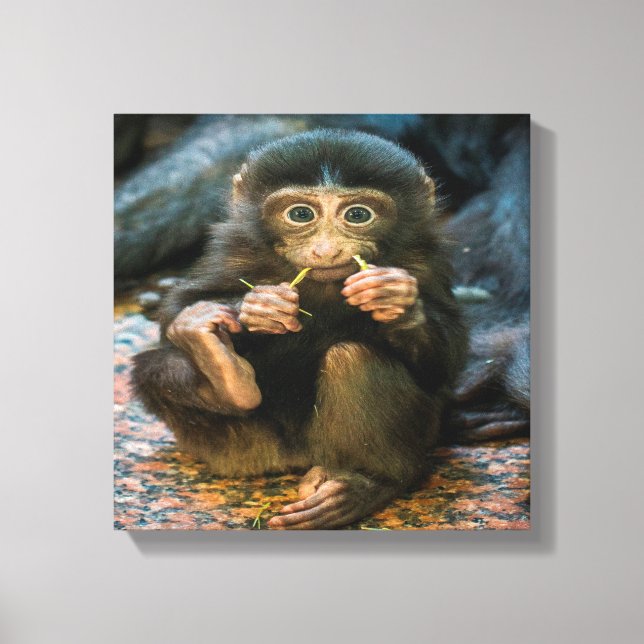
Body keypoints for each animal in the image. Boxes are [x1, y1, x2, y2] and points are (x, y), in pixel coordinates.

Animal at [132, 129, 468, 529]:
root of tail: (292, 458)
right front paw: (257, 309)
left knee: (351, 359)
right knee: (157, 364)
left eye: (358, 215)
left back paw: (367, 485)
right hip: (240, 448)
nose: (326, 251)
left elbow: (445, 363)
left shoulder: (424, 257)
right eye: (300, 214)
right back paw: (222, 375)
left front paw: (394, 300)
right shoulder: (232, 247)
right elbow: (178, 307)